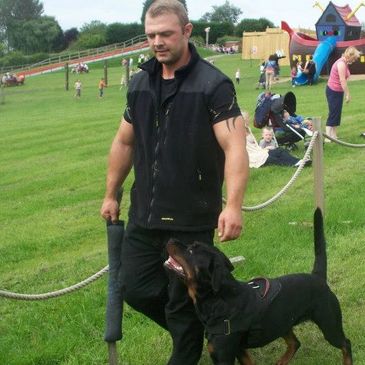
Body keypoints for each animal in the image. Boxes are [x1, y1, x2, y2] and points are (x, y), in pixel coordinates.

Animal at [164, 209, 352, 364]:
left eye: (191, 251)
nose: (171, 238)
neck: (219, 299)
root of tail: (317, 277)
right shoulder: (240, 350)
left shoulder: (224, 355)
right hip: (281, 322)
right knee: (295, 343)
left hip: (328, 323)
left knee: (345, 343)